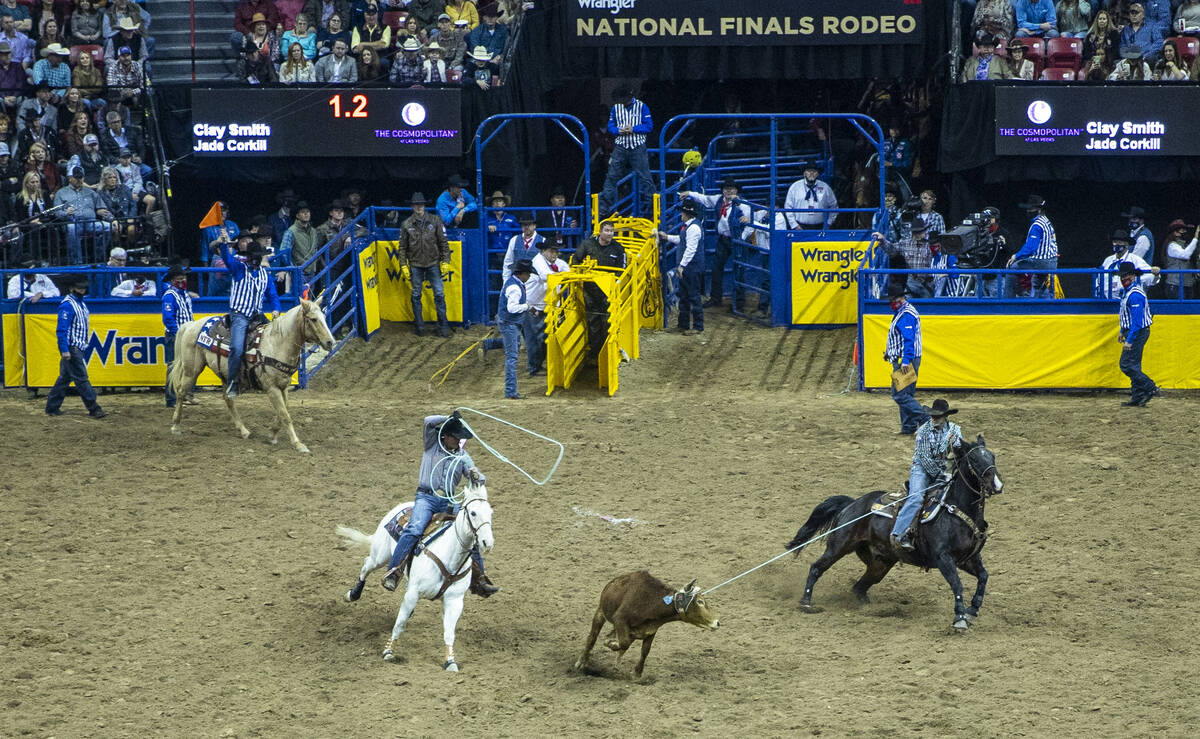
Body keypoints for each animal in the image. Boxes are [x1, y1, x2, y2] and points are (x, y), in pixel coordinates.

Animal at [164, 298, 333, 451]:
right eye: (313, 319)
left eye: (324, 318)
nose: (330, 342)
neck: (277, 344)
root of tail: (191, 324)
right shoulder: (272, 388)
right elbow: (285, 415)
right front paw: (298, 444)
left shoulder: (283, 386)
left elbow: (283, 412)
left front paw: (272, 434)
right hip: (192, 370)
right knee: (181, 391)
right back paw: (175, 426)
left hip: (226, 375)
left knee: (227, 399)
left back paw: (243, 430)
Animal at [336, 482, 494, 671]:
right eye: (473, 513)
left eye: (490, 513)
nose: (487, 543)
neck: (449, 557)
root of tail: (402, 506)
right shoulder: (413, 594)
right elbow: (399, 624)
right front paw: (389, 651)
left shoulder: (455, 601)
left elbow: (449, 633)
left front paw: (450, 661)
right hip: (380, 556)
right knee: (366, 566)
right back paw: (352, 594)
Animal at [787, 436, 1003, 633]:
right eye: (974, 459)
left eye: (992, 456)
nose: (997, 485)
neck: (956, 509)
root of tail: (852, 503)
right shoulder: (943, 557)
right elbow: (957, 585)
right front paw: (959, 619)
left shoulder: (967, 558)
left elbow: (984, 577)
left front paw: (972, 611)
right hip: (839, 546)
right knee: (817, 568)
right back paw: (806, 602)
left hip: (881, 562)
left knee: (859, 587)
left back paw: (870, 609)